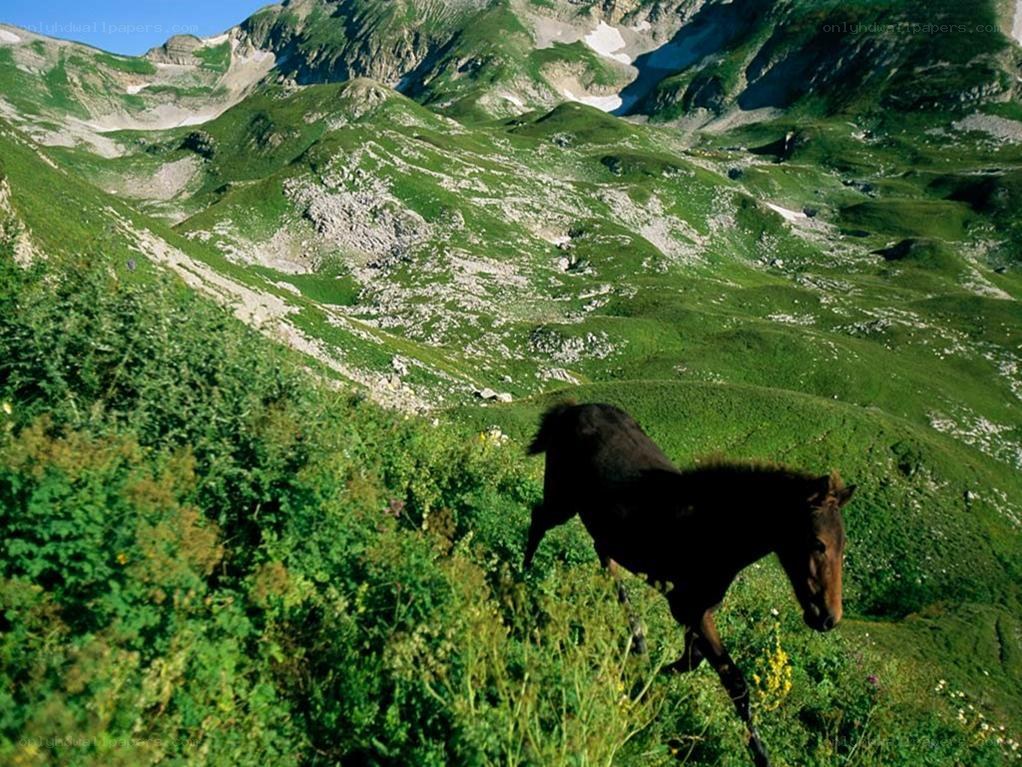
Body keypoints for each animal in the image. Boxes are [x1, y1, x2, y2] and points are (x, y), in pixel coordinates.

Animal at [523, 402, 855, 767]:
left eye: (844, 546)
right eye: (818, 543)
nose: (828, 617)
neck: (712, 529)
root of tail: (572, 408)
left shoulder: (696, 611)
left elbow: (693, 660)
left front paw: (653, 674)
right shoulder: (690, 608)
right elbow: (732, 679)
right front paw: (760, 753)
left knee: (604, 557)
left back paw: (636, 636)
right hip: (562, 500)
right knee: (539, 521)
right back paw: (521, 580)